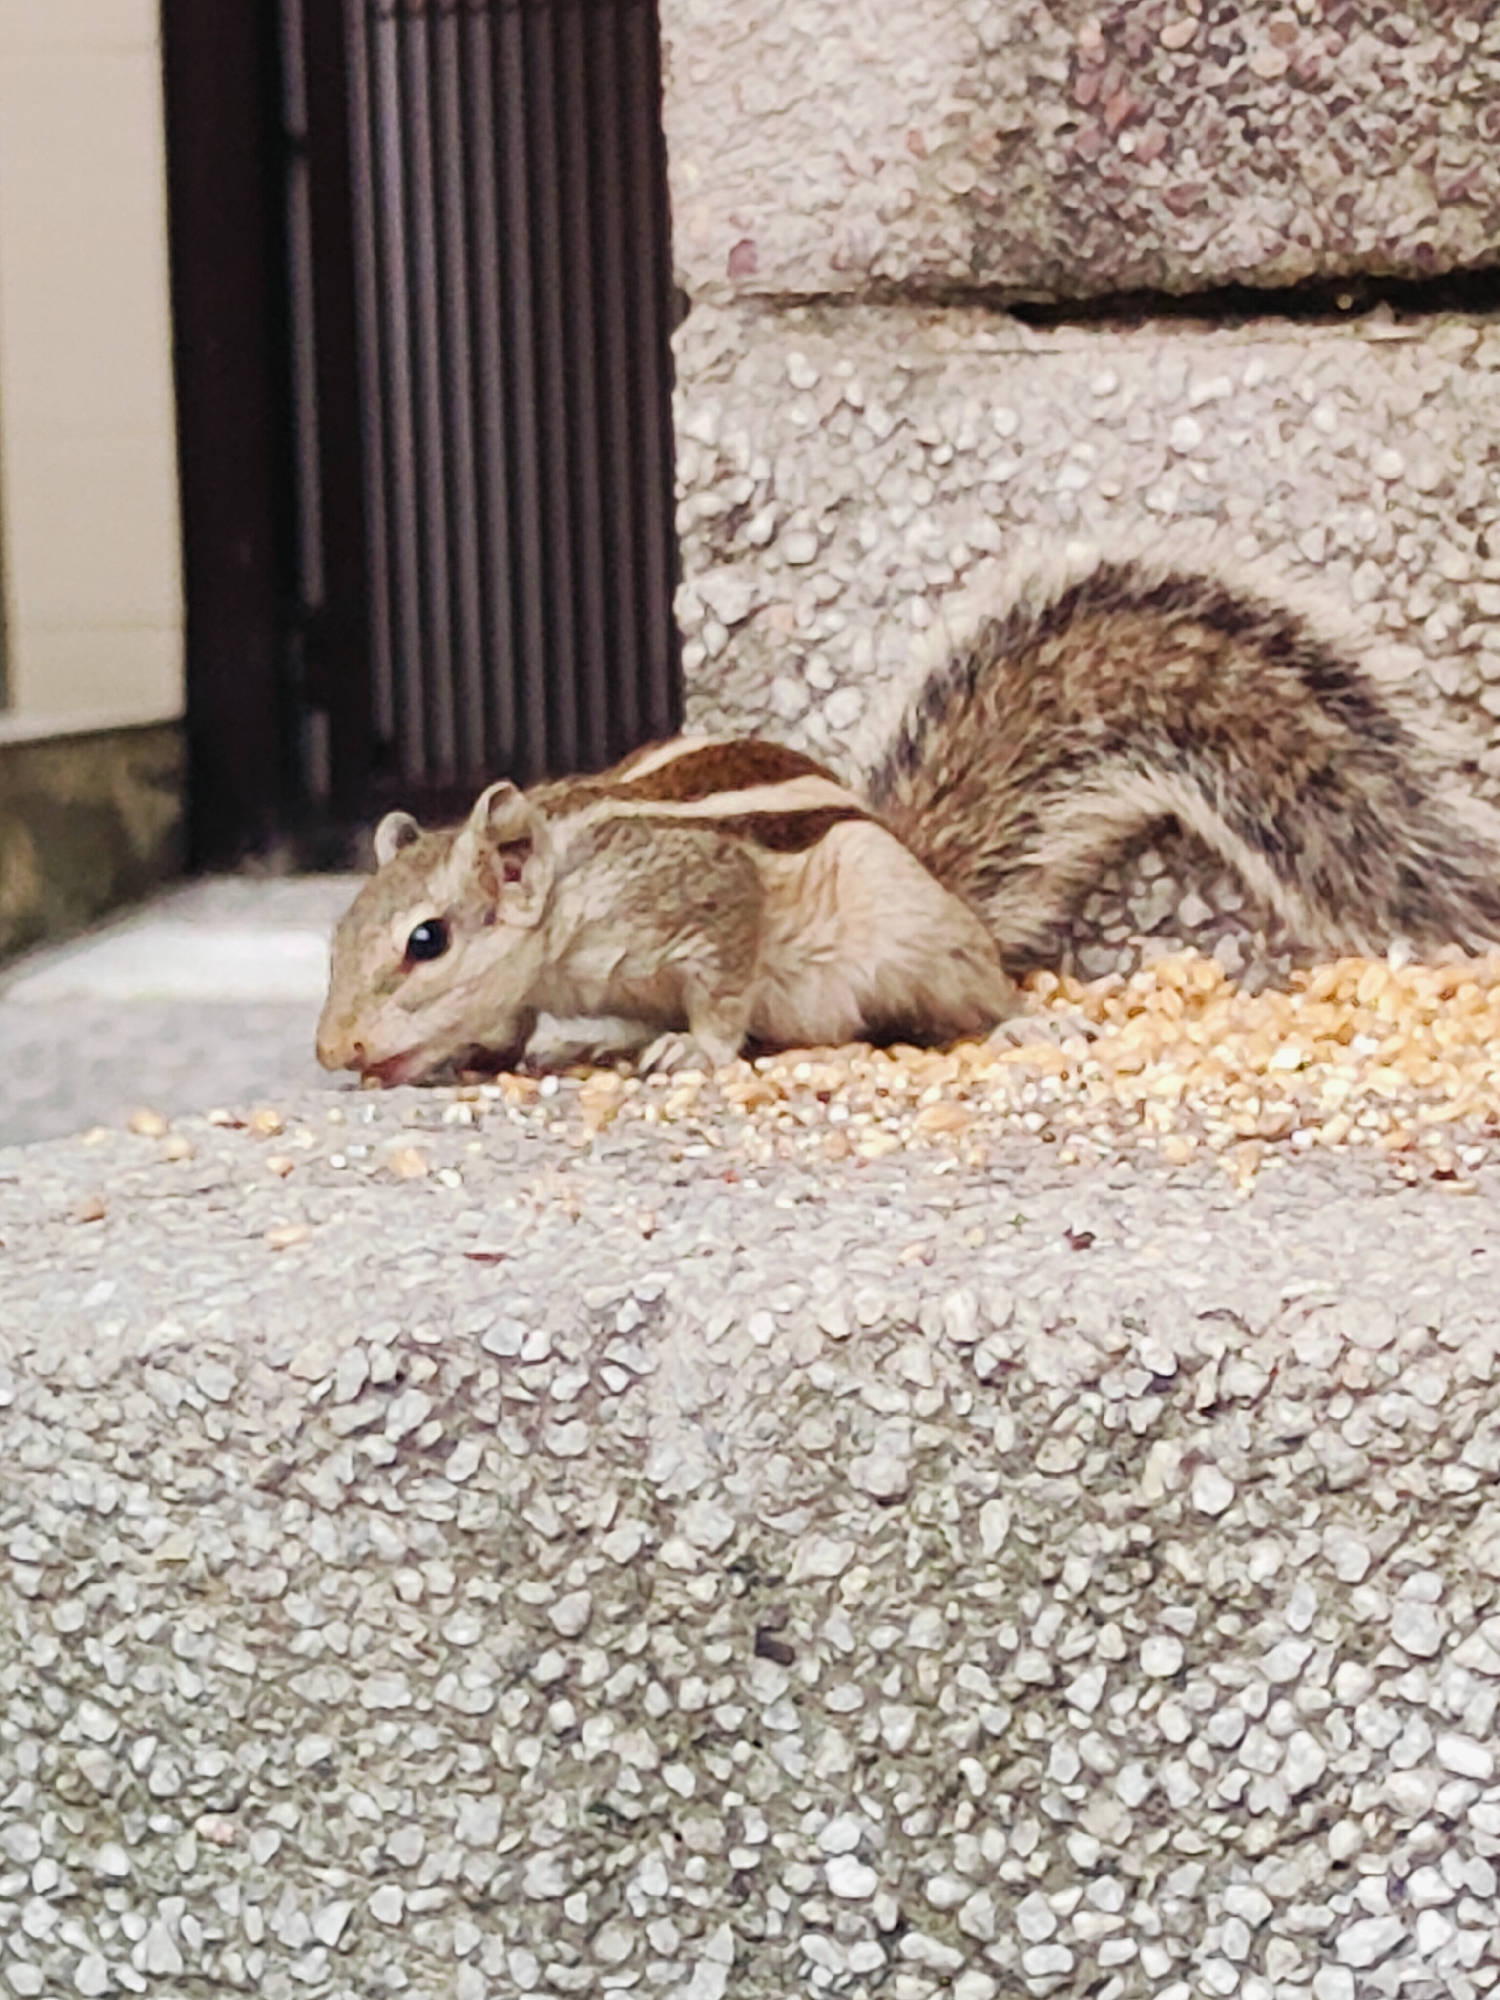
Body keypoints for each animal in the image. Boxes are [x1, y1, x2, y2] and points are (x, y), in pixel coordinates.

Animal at [317, 558, 1500, 1086]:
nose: (333, 1048)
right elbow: (510, 1021)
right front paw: (457, 1058)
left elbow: (724, 977)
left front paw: (694, 1049)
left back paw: (1016, 1023)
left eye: (427, 939)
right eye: (336, 937)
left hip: (915, 940)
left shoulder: (699, 892)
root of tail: (937, 877)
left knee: (974, 988)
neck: (569, 878)